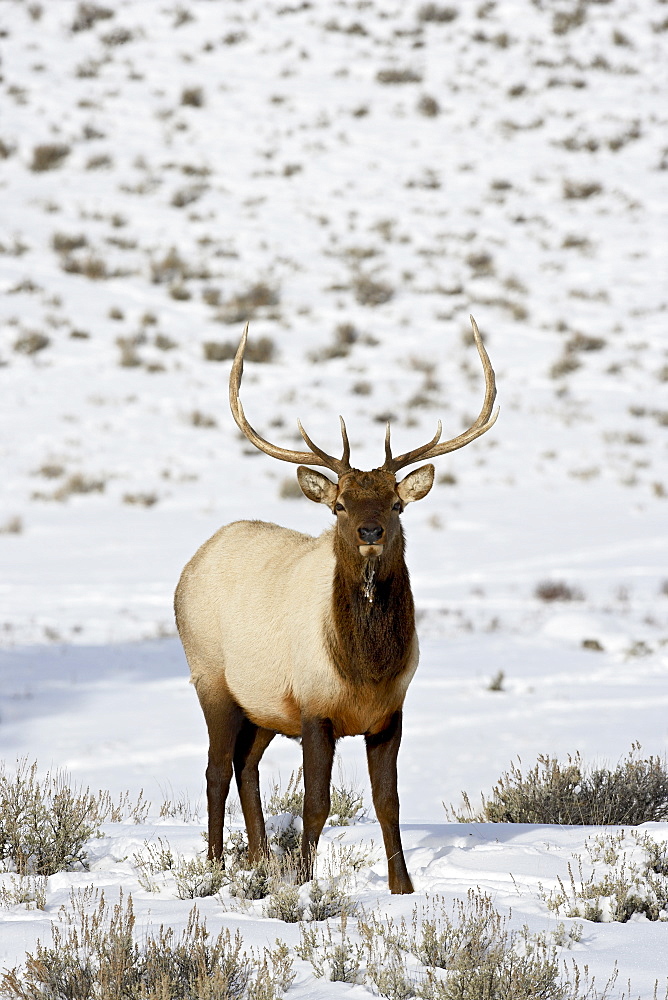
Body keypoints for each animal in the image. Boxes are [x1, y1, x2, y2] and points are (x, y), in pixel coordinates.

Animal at [175, 316, 498, 896]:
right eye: (341, 505)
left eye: (396, 504)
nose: (370, 532)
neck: (365, 667)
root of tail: (193, 563)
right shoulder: (314, 706)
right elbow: (316, 804)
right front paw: (304, 880)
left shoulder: (389, 712)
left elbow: (388, 802)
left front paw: (402, 888)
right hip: (212, 679)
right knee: (215, 770)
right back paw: (214, 865)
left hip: (263, 705)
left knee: (245, 766)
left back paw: (260, 858)